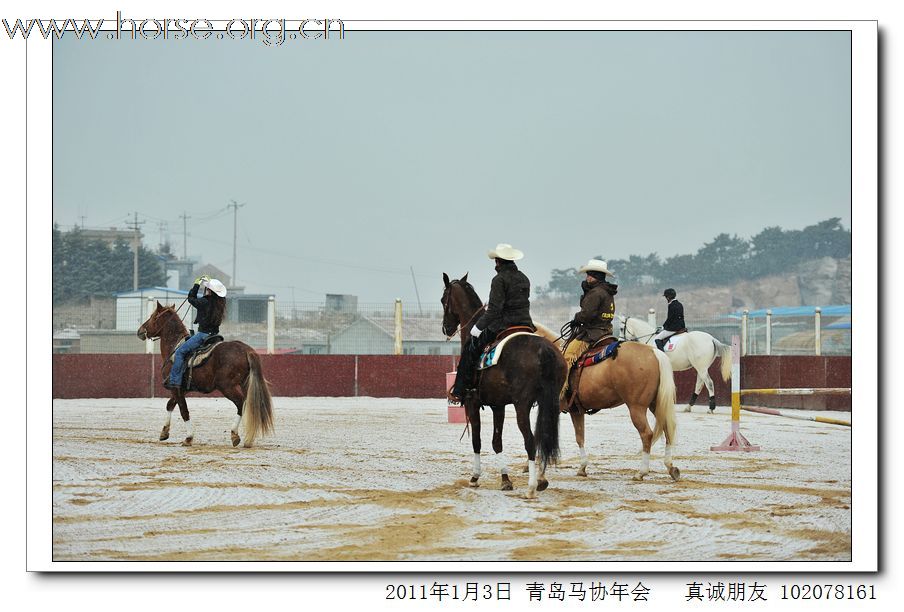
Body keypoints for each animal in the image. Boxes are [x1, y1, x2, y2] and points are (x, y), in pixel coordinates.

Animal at [136, 304, 274, 448]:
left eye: (153, 316)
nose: (140, 331)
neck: (175, 348)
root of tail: (246, 350)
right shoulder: (182, 389)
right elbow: (170, 405)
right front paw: (164, 432)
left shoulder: (176, 387)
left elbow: (183, 410)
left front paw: (189, 438)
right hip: (245, 384)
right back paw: (248, 439)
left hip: (227, 387)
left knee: (241, 403)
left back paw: (235, 434)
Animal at [440, 272, 564, 498]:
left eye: (444, 299)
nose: (446, 327)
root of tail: (544, 350)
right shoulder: (498, 405)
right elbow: (497, 441)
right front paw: (505, 479)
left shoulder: (472, 402)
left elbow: (477, 440)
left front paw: (475, 477)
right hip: (549, 403)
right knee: (545, 437)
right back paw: (542, 479)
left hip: (522, 405)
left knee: (530, 441)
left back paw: (531, 487)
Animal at [560, 338, 680, 480]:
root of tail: (654, 352)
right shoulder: (576, 411)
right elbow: (580, 437)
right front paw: (582, 468)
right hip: (656, 405)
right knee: (667, 428)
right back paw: (671, 467)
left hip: (636, 408)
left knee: (646, 434)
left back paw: (641, 472)